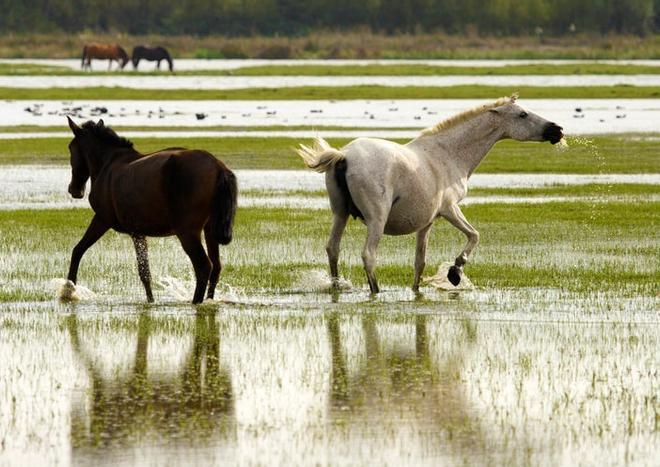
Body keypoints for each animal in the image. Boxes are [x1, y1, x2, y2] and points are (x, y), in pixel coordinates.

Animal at [64, 119, 238, 306]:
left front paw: (68, 290)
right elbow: (145, 273)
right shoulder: (138, 232)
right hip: (209, 229)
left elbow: (78, 250)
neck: (107, 164)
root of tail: (218, 167)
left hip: (188, 232)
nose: (74, 189)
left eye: (70, 147)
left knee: (204, 266)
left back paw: (196, 302)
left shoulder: (103, 219)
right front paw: (151, 300)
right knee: (216, 267)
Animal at [300, 94, 564, 292]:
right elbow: (474, 235)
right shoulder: (449, 209)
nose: (557, 129)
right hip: (376, 220)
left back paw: (336, 286)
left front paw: (418, 290)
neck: (447, 153)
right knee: (368, 255)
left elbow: (420, 261)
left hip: (340, 214)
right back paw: (376, 290)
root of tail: (344, 155)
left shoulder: (427, 222)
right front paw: (455, 271)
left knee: (333, 249)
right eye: (523, 114)